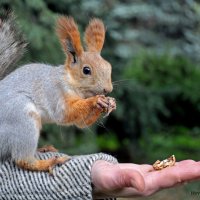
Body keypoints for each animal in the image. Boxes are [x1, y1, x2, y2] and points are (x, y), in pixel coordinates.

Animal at [0, 14, 115, 173]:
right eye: (86, 70)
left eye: (108, 66)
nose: (107, 89)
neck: (70, 81)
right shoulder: (55, 93)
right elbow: (65, 113)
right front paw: (96, 100)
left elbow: (80, 122)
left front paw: (110, 102)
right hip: (22, 117)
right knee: (22, 160)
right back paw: (48, 162)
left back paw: (43, 149)